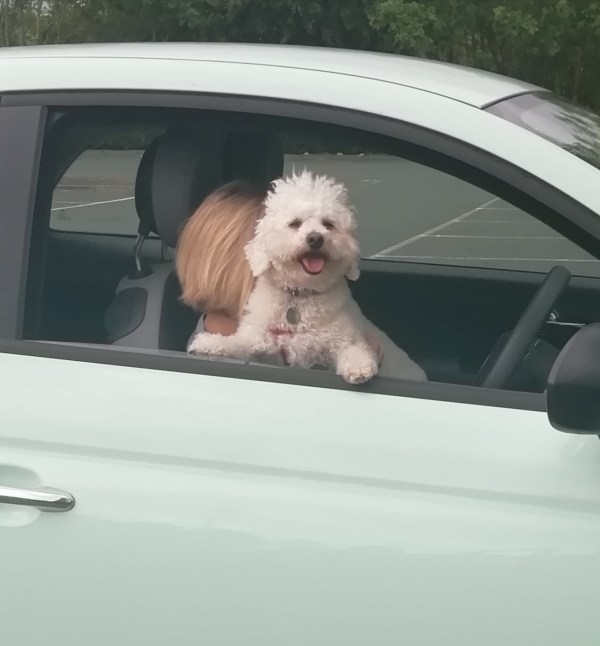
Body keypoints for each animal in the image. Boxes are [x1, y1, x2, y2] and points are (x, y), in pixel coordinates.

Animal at [188, 170, 380, 384]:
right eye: (294, 223)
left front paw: (358, 366)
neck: (299, 295)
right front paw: (208, 342)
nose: (315, 238)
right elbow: (237, 343)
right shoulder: (257, 339)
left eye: (328, 224)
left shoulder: (345, 339)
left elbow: (354, 350)